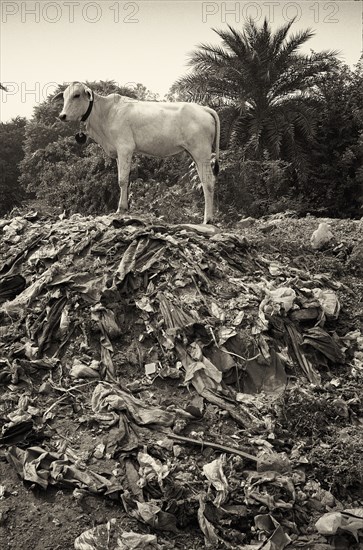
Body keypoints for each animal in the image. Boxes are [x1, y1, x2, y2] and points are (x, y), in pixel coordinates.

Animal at [52, 82, 220, 224]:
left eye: (76, 95)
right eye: (64, 96)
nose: (62, 115)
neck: (105, 113)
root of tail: (203, 109)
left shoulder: (125, 148)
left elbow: (122, 180)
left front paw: (121, 208)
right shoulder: (118, 153)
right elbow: (123, 179)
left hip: (201, 151)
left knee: (209, 181)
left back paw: (208, 219)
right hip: (195, 154)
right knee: (204, 181)